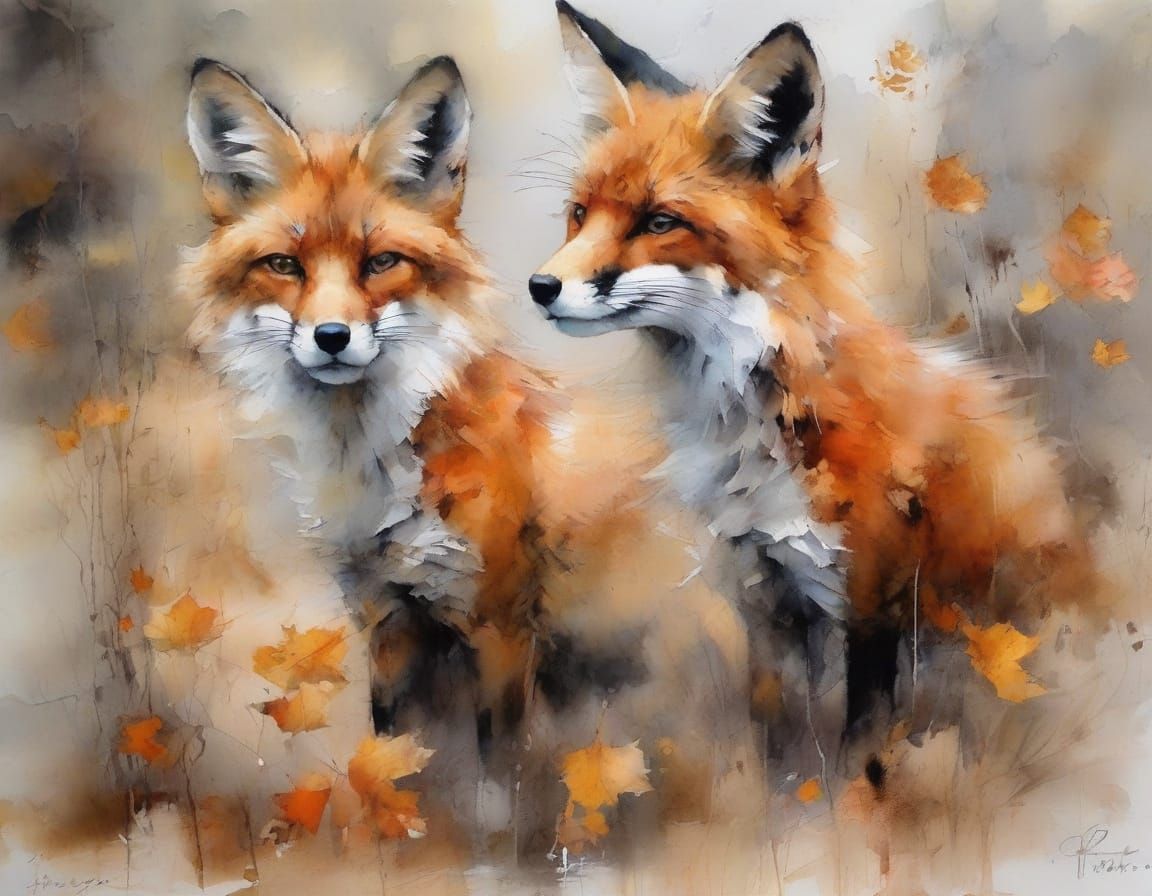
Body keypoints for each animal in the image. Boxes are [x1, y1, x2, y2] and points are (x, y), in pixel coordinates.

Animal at [531, 3, 1098, 744]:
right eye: (579, 214)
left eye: (659, 222)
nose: (541, 287)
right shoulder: (763, 585)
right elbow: (773, 728)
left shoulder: (873, 595)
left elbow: (865, 744)